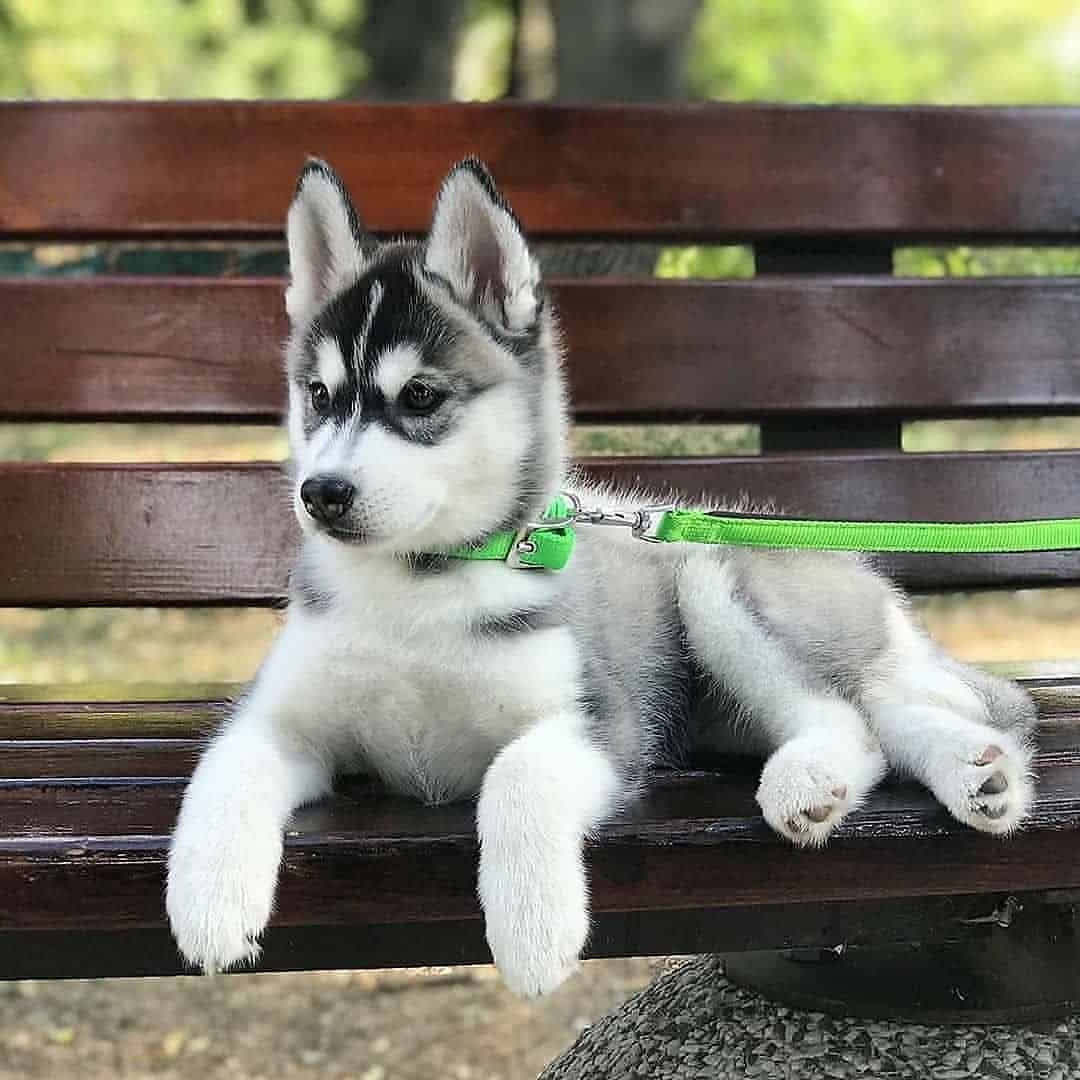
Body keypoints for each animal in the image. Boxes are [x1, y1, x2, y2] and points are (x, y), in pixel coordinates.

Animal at [166, 156, 1036, 997]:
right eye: (316, 394)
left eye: (419, 396)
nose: (322, 494)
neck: (422, 590)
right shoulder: (282, 716)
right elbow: (225, 767)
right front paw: (209, 905)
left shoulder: (605, 723)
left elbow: (517, 775)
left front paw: (531, 931)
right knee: (883, 715)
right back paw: (977, 772)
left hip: (716, 585)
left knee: (850, 717)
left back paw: (819, 778)